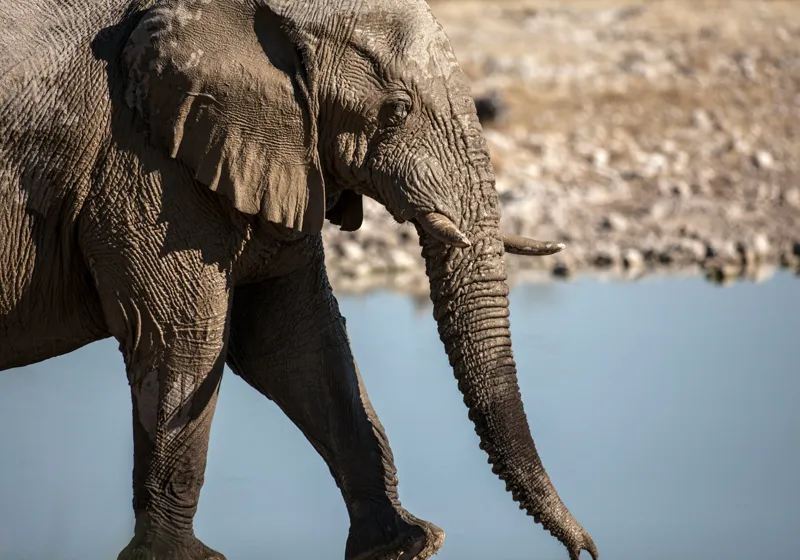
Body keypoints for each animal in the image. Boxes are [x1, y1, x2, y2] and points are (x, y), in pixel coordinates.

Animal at [0, 0, 597, 558]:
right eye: (395, 112)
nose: (585, 551)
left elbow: (297, 341)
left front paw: (404, 545)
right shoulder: (143, 166)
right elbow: (183, 339)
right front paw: (180, 558)